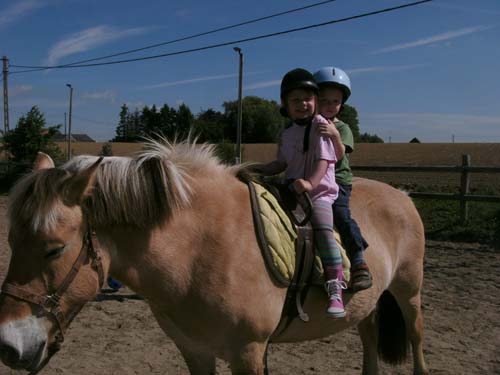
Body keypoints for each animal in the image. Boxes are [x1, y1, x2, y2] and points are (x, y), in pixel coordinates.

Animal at [0, 140, 430, 374]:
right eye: (12, 241)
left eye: (54, 248)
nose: (8, 345)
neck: (199, 250)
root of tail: (402, 195)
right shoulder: (195, 351)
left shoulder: (249, 353)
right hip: (371, 301)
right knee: (369, 333)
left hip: (408, 291)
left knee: (415, 335)